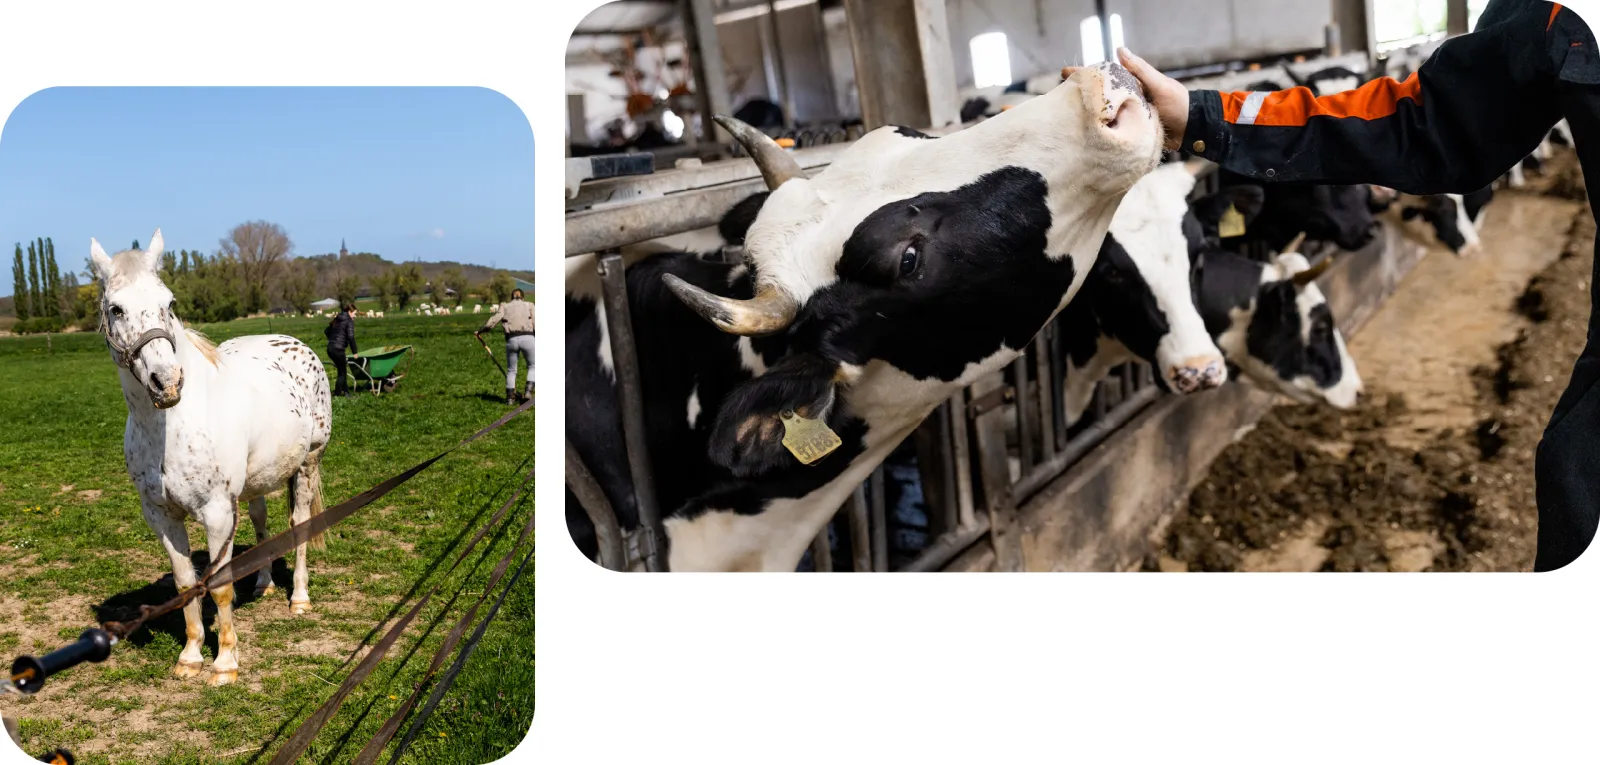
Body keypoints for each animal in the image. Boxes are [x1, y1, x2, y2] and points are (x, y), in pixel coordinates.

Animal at [91, 230, 332, 686]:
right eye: (116, 309)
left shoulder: (217, 511)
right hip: (255, 484)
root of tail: (296, 345)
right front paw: (190, 656)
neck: (171, 426)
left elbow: (218, 586)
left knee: (299, 526)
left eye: (169, 303)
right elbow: (187, 582)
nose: (166, 382)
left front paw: (225, 663)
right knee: (260, 520)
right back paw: (262, 585)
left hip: (308, 464)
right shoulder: (161, 516)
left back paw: (299, 598)